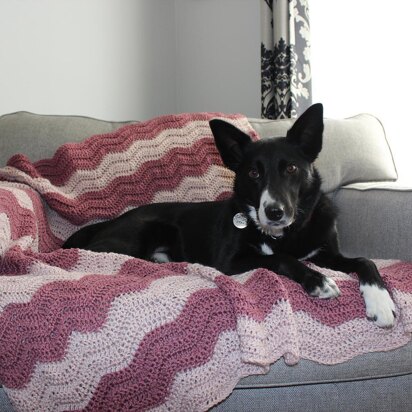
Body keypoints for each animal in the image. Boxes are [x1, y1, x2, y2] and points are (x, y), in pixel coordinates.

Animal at [63, 104, 396, 328]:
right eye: (253, 173)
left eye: (291, 168)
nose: (274, 212)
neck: (285, 234)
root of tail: (108, 222)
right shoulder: (230, 262)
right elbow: (281, 259)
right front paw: (317, 281)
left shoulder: (326, 252)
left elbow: (364, 261)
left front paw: (381, 302)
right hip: (140, 233)